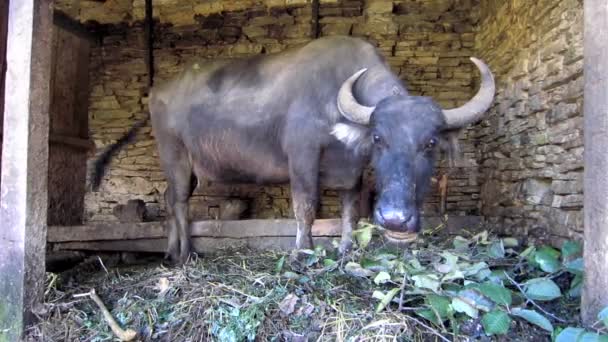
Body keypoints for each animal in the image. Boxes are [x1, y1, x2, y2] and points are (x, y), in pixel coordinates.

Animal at [92, 35, 496, 264]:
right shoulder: (302, 156)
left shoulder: (351, 169)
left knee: (168, 195)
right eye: (380, 138)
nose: (396, 220)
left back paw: (170, 250)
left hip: (188, 166)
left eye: (431, 143)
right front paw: (303, 250)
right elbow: (307, 205)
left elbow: (350, 207)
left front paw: (347, 248)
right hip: (173, 152)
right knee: (177, 201)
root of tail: (157, 90)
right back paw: (186, 253)